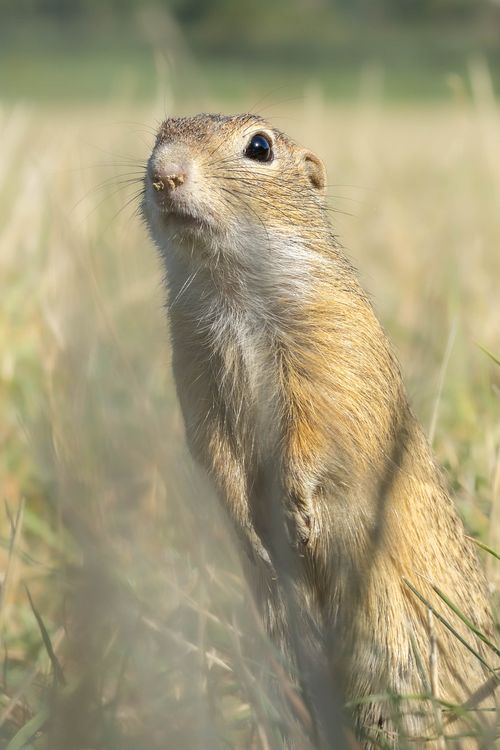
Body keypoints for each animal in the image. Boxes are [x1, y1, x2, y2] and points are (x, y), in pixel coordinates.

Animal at [142, 113, 497, 748]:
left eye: (260, 146)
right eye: (158, 134)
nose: (164, 175)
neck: (230, 288)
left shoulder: (328, 348)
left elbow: (313, 432)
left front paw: (297, 513)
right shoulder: (194, 371)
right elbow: (214, 451)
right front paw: (253, 531)